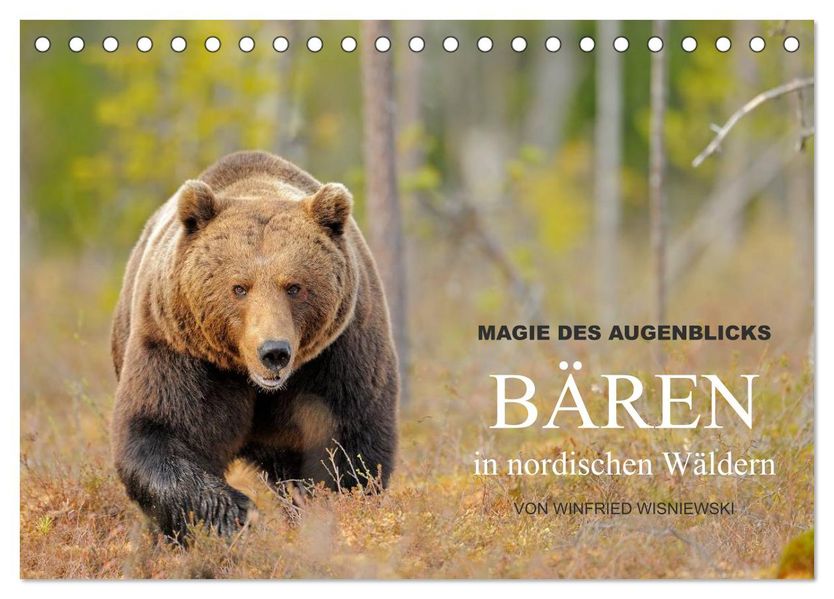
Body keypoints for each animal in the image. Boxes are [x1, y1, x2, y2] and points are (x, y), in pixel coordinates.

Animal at [110, 150, 399, 540]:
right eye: (239, 287)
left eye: (294, 286)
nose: (273, 352)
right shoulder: (181, 349)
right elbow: (160, 429)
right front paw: (236, 513)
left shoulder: (339, 353)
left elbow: (349, 446)